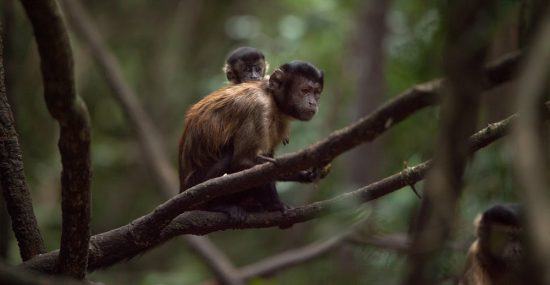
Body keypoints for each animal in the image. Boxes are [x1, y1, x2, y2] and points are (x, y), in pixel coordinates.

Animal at [181, 60, 326, 220]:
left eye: (316, 93)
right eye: (305, 90)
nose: (313, 103)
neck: (271, 98)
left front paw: (305, 172)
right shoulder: (259, 107)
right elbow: (244, 162)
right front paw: (276, 205)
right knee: (229, 156)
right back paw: (218, 206)